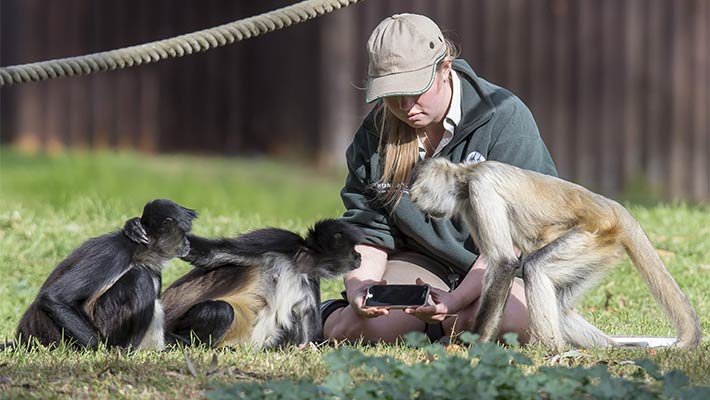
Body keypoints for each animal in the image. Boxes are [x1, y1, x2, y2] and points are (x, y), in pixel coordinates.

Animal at [14, 198, 197, 348]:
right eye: (184, 234)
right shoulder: (115, 252)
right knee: (140, 277)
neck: (137, 250)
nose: (188, 243)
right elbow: (53, 298)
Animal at [125, 217, 364, 348]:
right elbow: (213, 253)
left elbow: (307, 337)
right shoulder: (277, 239)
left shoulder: (310, 280)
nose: (360, 257)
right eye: (353, 249)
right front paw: (134, 228)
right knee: (220, 310)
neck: (298, 263)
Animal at [408, 158, 704, 352]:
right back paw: (610, 348)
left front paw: (476, 346)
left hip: (590, 236)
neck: (468, 173)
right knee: (560, 304)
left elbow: (504, 262)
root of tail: (613, 208)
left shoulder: (480, 188)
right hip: (600, 250)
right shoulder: (469, 203)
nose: (423, 212)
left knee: (534, 268)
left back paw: (553, 351)